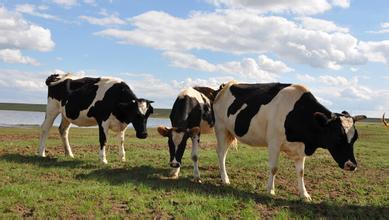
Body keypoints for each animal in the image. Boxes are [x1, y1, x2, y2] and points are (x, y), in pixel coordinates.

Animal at [211, 81, 366, 201]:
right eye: (338, 136)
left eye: (355, 138)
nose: (352, 165)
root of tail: (227, 85)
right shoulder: (274, 142)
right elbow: (274, 168)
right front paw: (270, 190)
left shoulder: (301, 148)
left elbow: (301, 172)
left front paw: (304, 194)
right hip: (221, 129)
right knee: (221, 153)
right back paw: (225, 179)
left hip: (230, 133)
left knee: (223, 153)